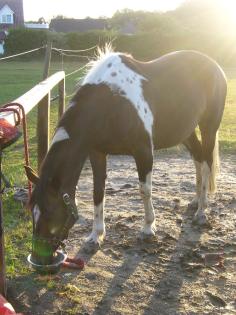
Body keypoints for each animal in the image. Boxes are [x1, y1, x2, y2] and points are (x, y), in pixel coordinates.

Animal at [24, 48, 227, 266]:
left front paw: (148, 228)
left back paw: (201, 211)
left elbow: (145, 190)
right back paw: (196, 201)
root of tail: (214, 66)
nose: (38, 257)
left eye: (51, 212)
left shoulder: (144, 151)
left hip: (208, 128)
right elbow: (98, 192)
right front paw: (96, 236)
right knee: (198, 158)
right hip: (186, 132)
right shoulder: (97, 153)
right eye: (32, 212)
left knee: (207, 163)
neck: (112, 101)